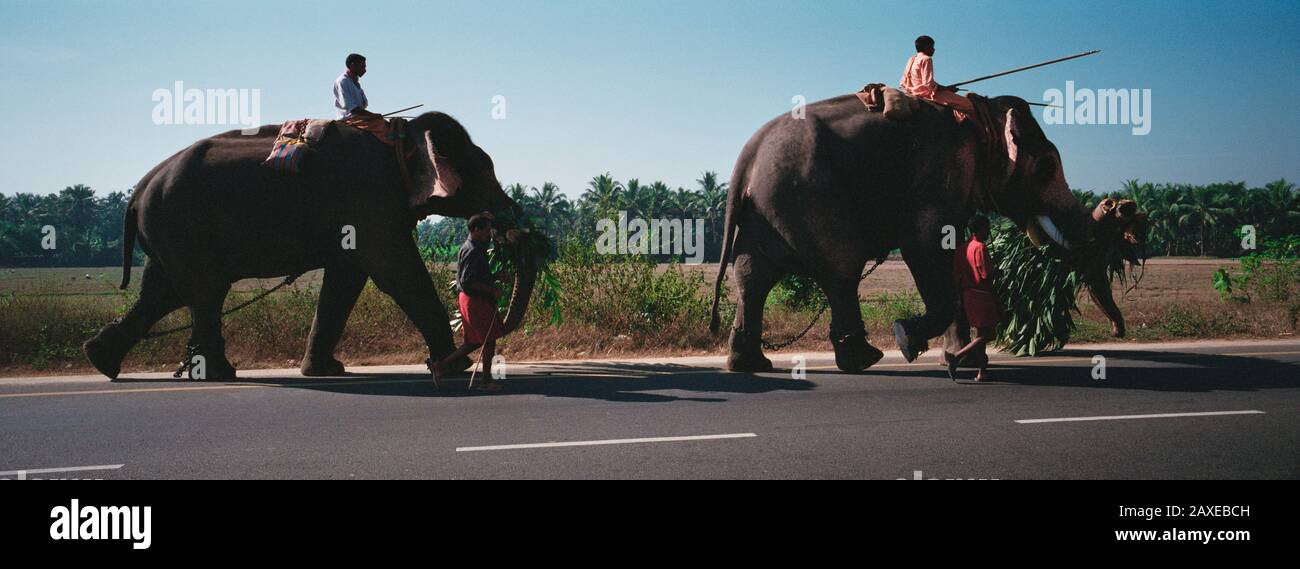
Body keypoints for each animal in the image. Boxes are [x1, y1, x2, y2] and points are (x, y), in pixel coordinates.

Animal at [83, 111, 535, 379]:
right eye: (484, 169)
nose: (505, 221)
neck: (399, 134)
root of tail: (138, 190)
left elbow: (346, 280)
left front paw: (325, 370)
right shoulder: (369, 198)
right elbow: (395, 271)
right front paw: (450, 366)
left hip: (168, 232)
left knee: (164, 292)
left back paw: (101, 359)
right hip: (181, 224)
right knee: (202, 292)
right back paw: (218, 374)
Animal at [712, 94, 1128, 374]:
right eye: (1045, 168)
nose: (1119, 330)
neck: (981, 114)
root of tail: (745, 160)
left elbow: (953, 253)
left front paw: (961, 359)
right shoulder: (941, 171)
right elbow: (925, 245)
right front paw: (907, 340)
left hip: (767, 207)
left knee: (752, 273)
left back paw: (750, 364)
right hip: (808, 195)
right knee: (841, 268)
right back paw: (865, 359)